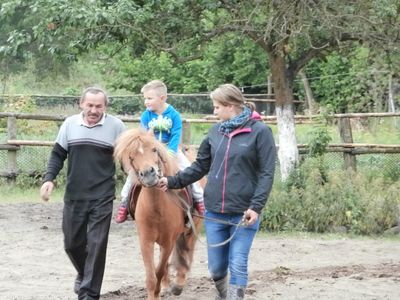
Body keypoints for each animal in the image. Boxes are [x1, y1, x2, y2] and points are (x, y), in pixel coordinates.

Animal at [113, 127, 203, 298]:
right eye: (131, 156)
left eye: (154, 149)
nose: (149, 174)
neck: (156, 209)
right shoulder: (145, 241)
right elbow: (151, 277)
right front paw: (155, 293)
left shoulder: (169, 242)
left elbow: (159, 271)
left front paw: (161, 290)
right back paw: (167, 285)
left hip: (193, 226)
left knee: (188, 251)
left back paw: (178, 284)